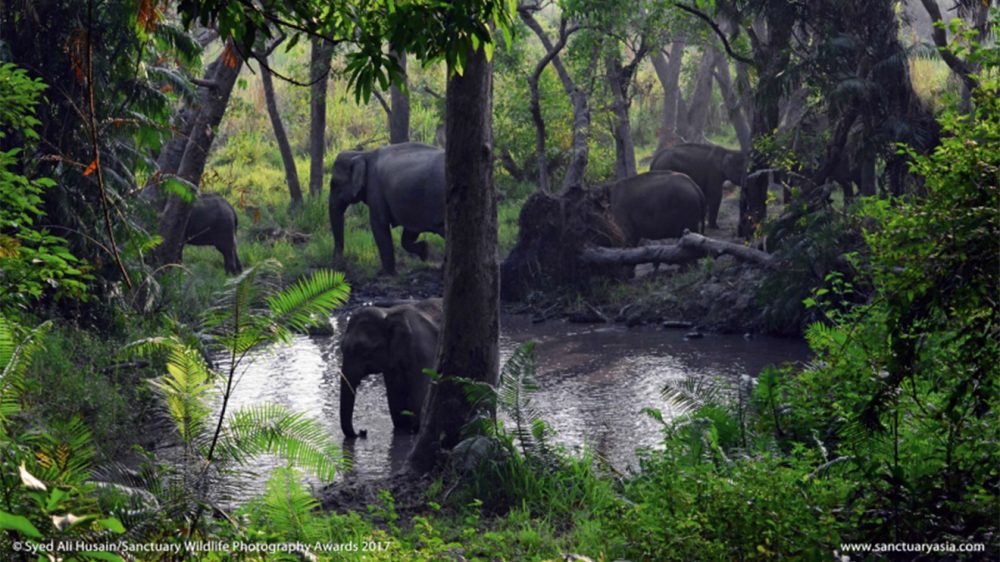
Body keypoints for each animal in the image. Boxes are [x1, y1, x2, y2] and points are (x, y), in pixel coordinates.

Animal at [330, 141, 444, 274]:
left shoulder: (375, 189)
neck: (363, 154)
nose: (339, 267)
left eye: (334, 184)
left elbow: (379, 226)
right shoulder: (413, 207)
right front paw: (430, 256)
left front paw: (385, 274)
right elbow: (408, 234)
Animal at [340, 298, 442, 438]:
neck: (389, 313)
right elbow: (397, 410)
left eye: (364, 350)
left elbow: (418, 403)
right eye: (341, 349)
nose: (362, 431)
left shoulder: (424, 353)